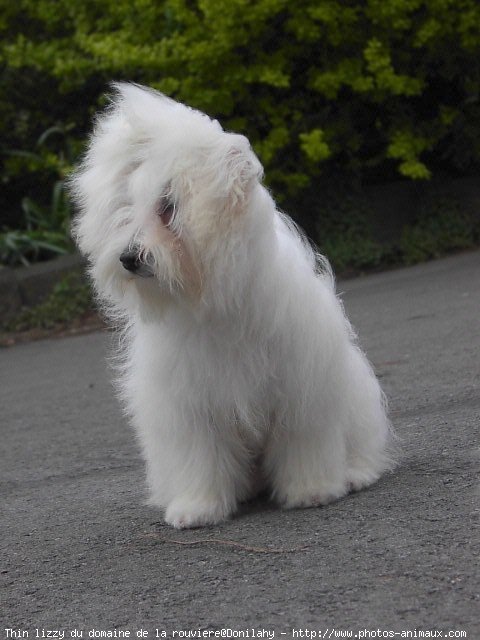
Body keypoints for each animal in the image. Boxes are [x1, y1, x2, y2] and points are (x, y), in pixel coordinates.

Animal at [71, 82, 394, 528]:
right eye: (125, 209)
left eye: (168, 207)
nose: (129, 258)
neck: (213, 303)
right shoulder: (190, 405)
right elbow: (200, 456)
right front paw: (198, 507)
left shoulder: (300, 388)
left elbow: (304, 441)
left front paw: (311, 491)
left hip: (357, 400)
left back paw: (357, 473)